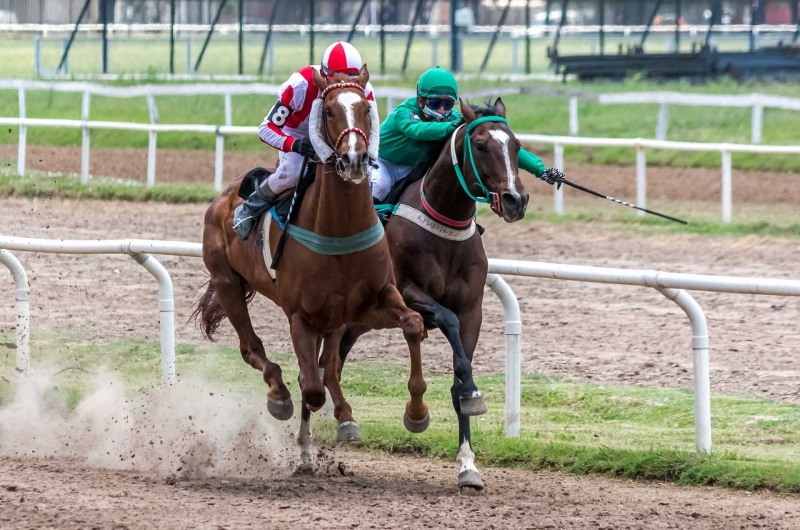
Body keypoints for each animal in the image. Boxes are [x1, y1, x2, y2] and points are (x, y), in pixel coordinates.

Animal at [193, 65, 428, 470]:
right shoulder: (300, 316)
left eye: (366, 109)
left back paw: (343, 418)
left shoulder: (371, 301)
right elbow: (311, 387)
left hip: (332, 317)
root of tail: (225, 196)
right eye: (329, 111)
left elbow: (412, 324)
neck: (337, 229)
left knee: (327, 365)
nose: (355, 158)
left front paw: (415, 413)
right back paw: (281, 399)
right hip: (227, 283)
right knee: (252, 348)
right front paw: (297, 428)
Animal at [340, 99, 532, 486]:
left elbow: (461, 376)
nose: (515, 200)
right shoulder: (407, 292)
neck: (445, 229)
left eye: (517, 145)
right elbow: (447, 318)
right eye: (481, 145)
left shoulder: (473, 309)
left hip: (360, 321)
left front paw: (468, 464)